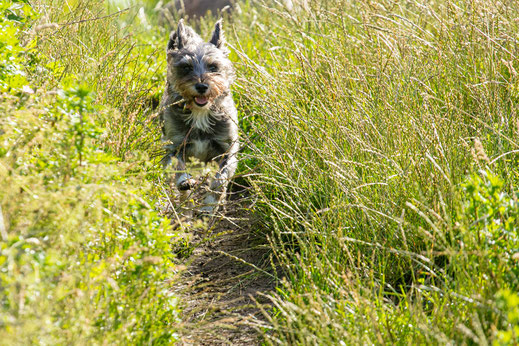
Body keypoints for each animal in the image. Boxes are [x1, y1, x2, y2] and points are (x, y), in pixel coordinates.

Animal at [160, 18, 240, 215]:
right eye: (186, 67)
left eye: (213, 66)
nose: (202, 86)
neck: (200, 113)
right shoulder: (175, 145)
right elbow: (178, 167)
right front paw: (185, 182)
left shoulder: (227, 150)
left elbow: (220, 179)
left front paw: (209, 205)